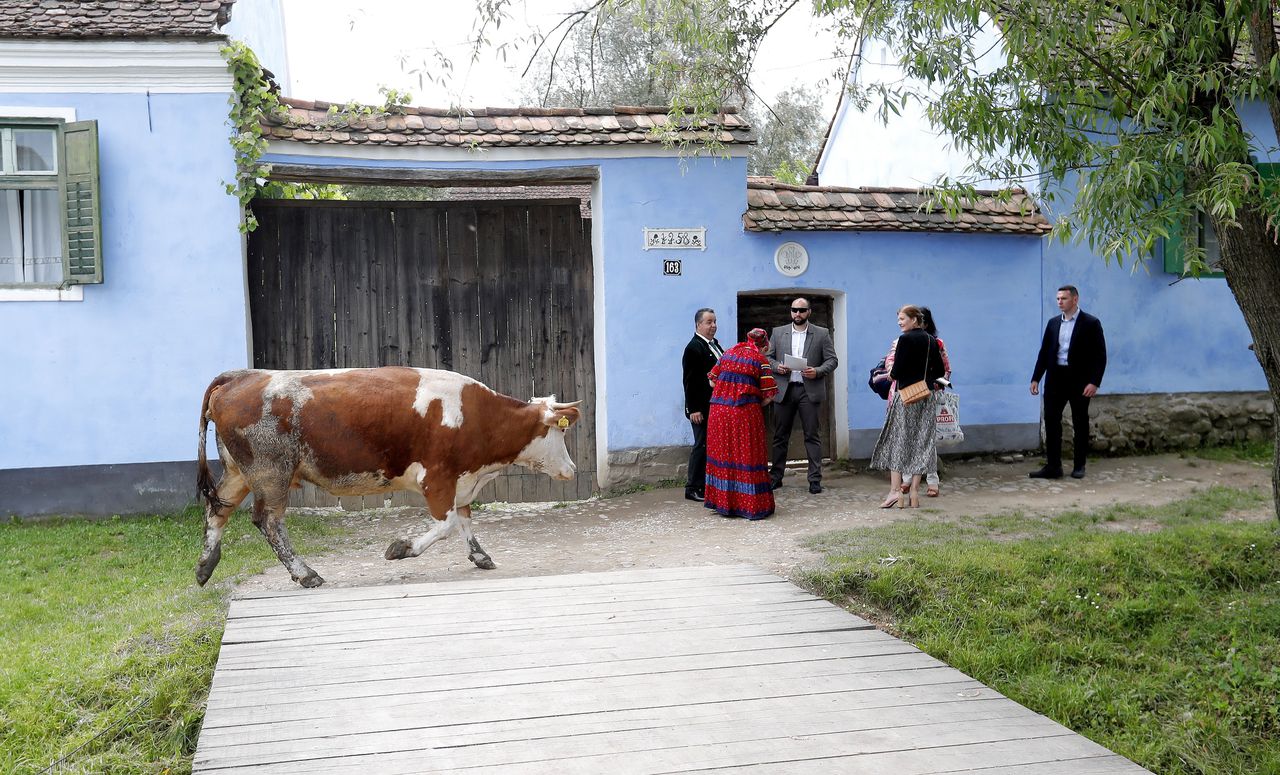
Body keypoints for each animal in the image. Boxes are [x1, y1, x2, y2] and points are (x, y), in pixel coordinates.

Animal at [192, 366, 583, 586]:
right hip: (271, 472)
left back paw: (205, 566)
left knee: (217, 509)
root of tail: (243, 375)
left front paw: (480, 556)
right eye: (561, 431)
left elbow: (465, 518)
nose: (573, 469)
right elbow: (446, 524)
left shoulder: (462, 480)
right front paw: (401, 548)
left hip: (238, 472)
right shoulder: (437, 478)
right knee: (269, 521)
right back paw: (306, 574)